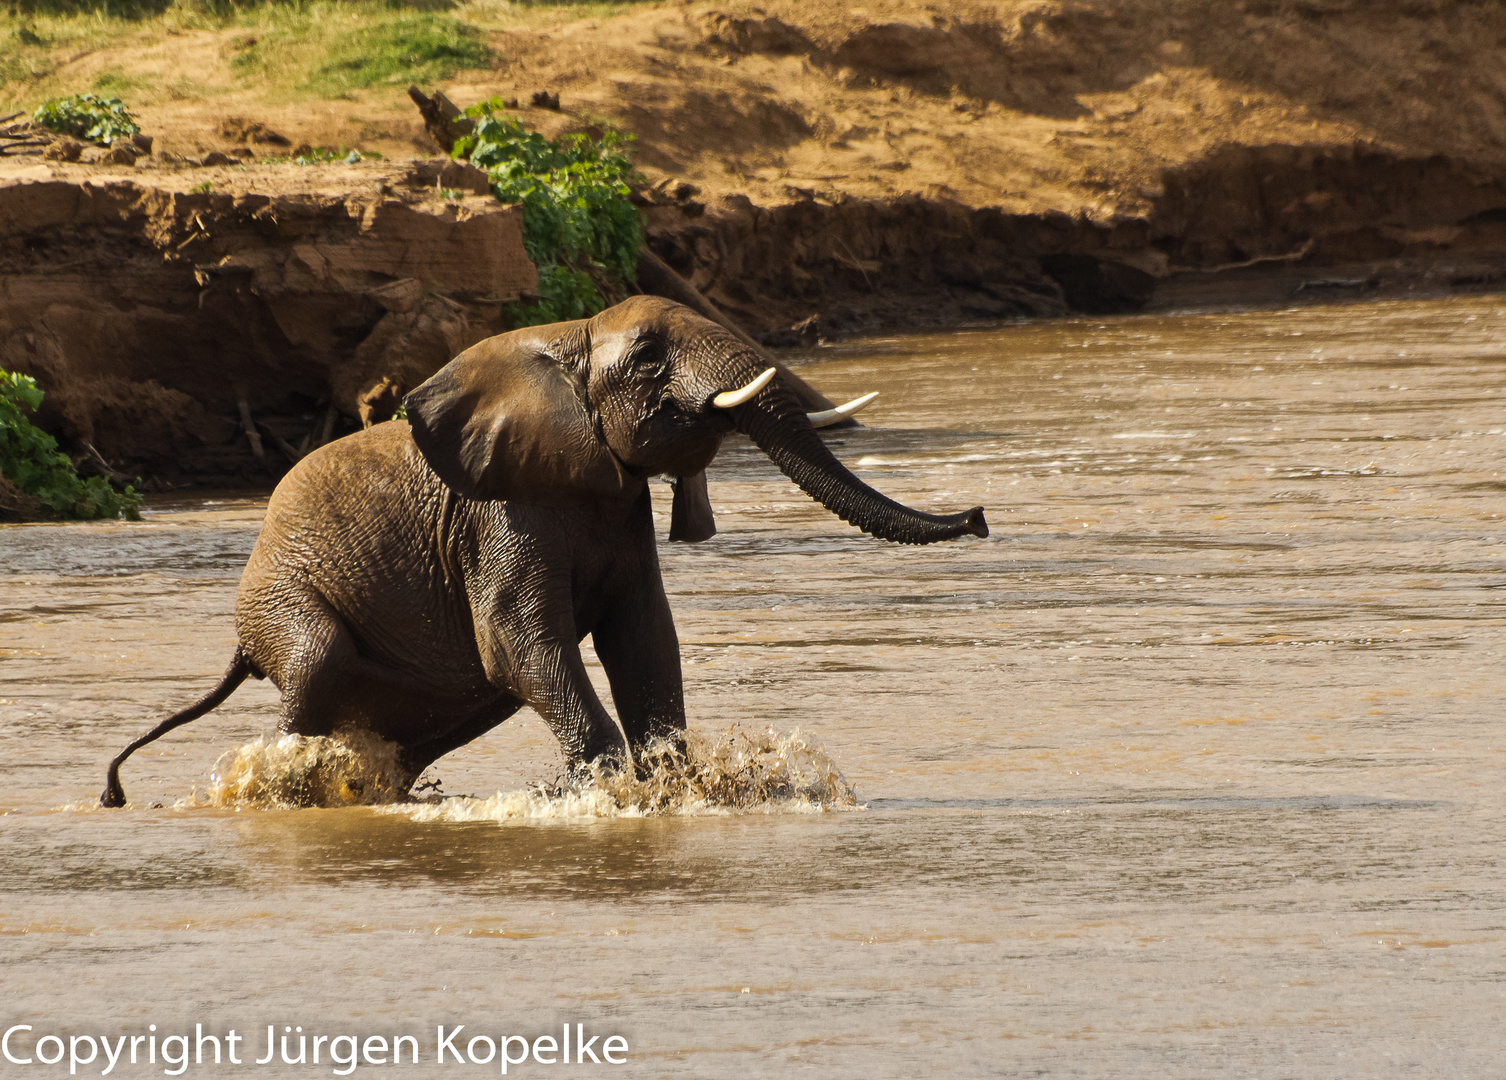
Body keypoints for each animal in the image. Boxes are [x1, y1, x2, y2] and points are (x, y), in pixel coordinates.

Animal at [97, 299, 987, 807]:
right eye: (650, 359)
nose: (981, 517)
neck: (566, 342)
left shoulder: (617, 506)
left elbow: (644, 641)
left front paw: (679, 789)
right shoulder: (500, 514)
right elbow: (522, 642)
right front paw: (610, 794)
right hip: (279, 595)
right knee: (317, 663)